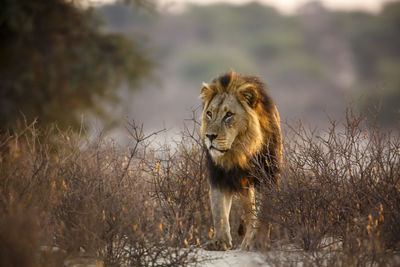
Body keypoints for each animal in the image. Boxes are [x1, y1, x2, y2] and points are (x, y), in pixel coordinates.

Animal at [199, 70, 282, 251]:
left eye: (228, 115)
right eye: (209, 113)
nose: (209, 136)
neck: (239, 150)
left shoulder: (269, 175)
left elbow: (265, 211)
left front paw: (257, 241)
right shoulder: (218, 174)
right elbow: (218, 208)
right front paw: (219, 241)